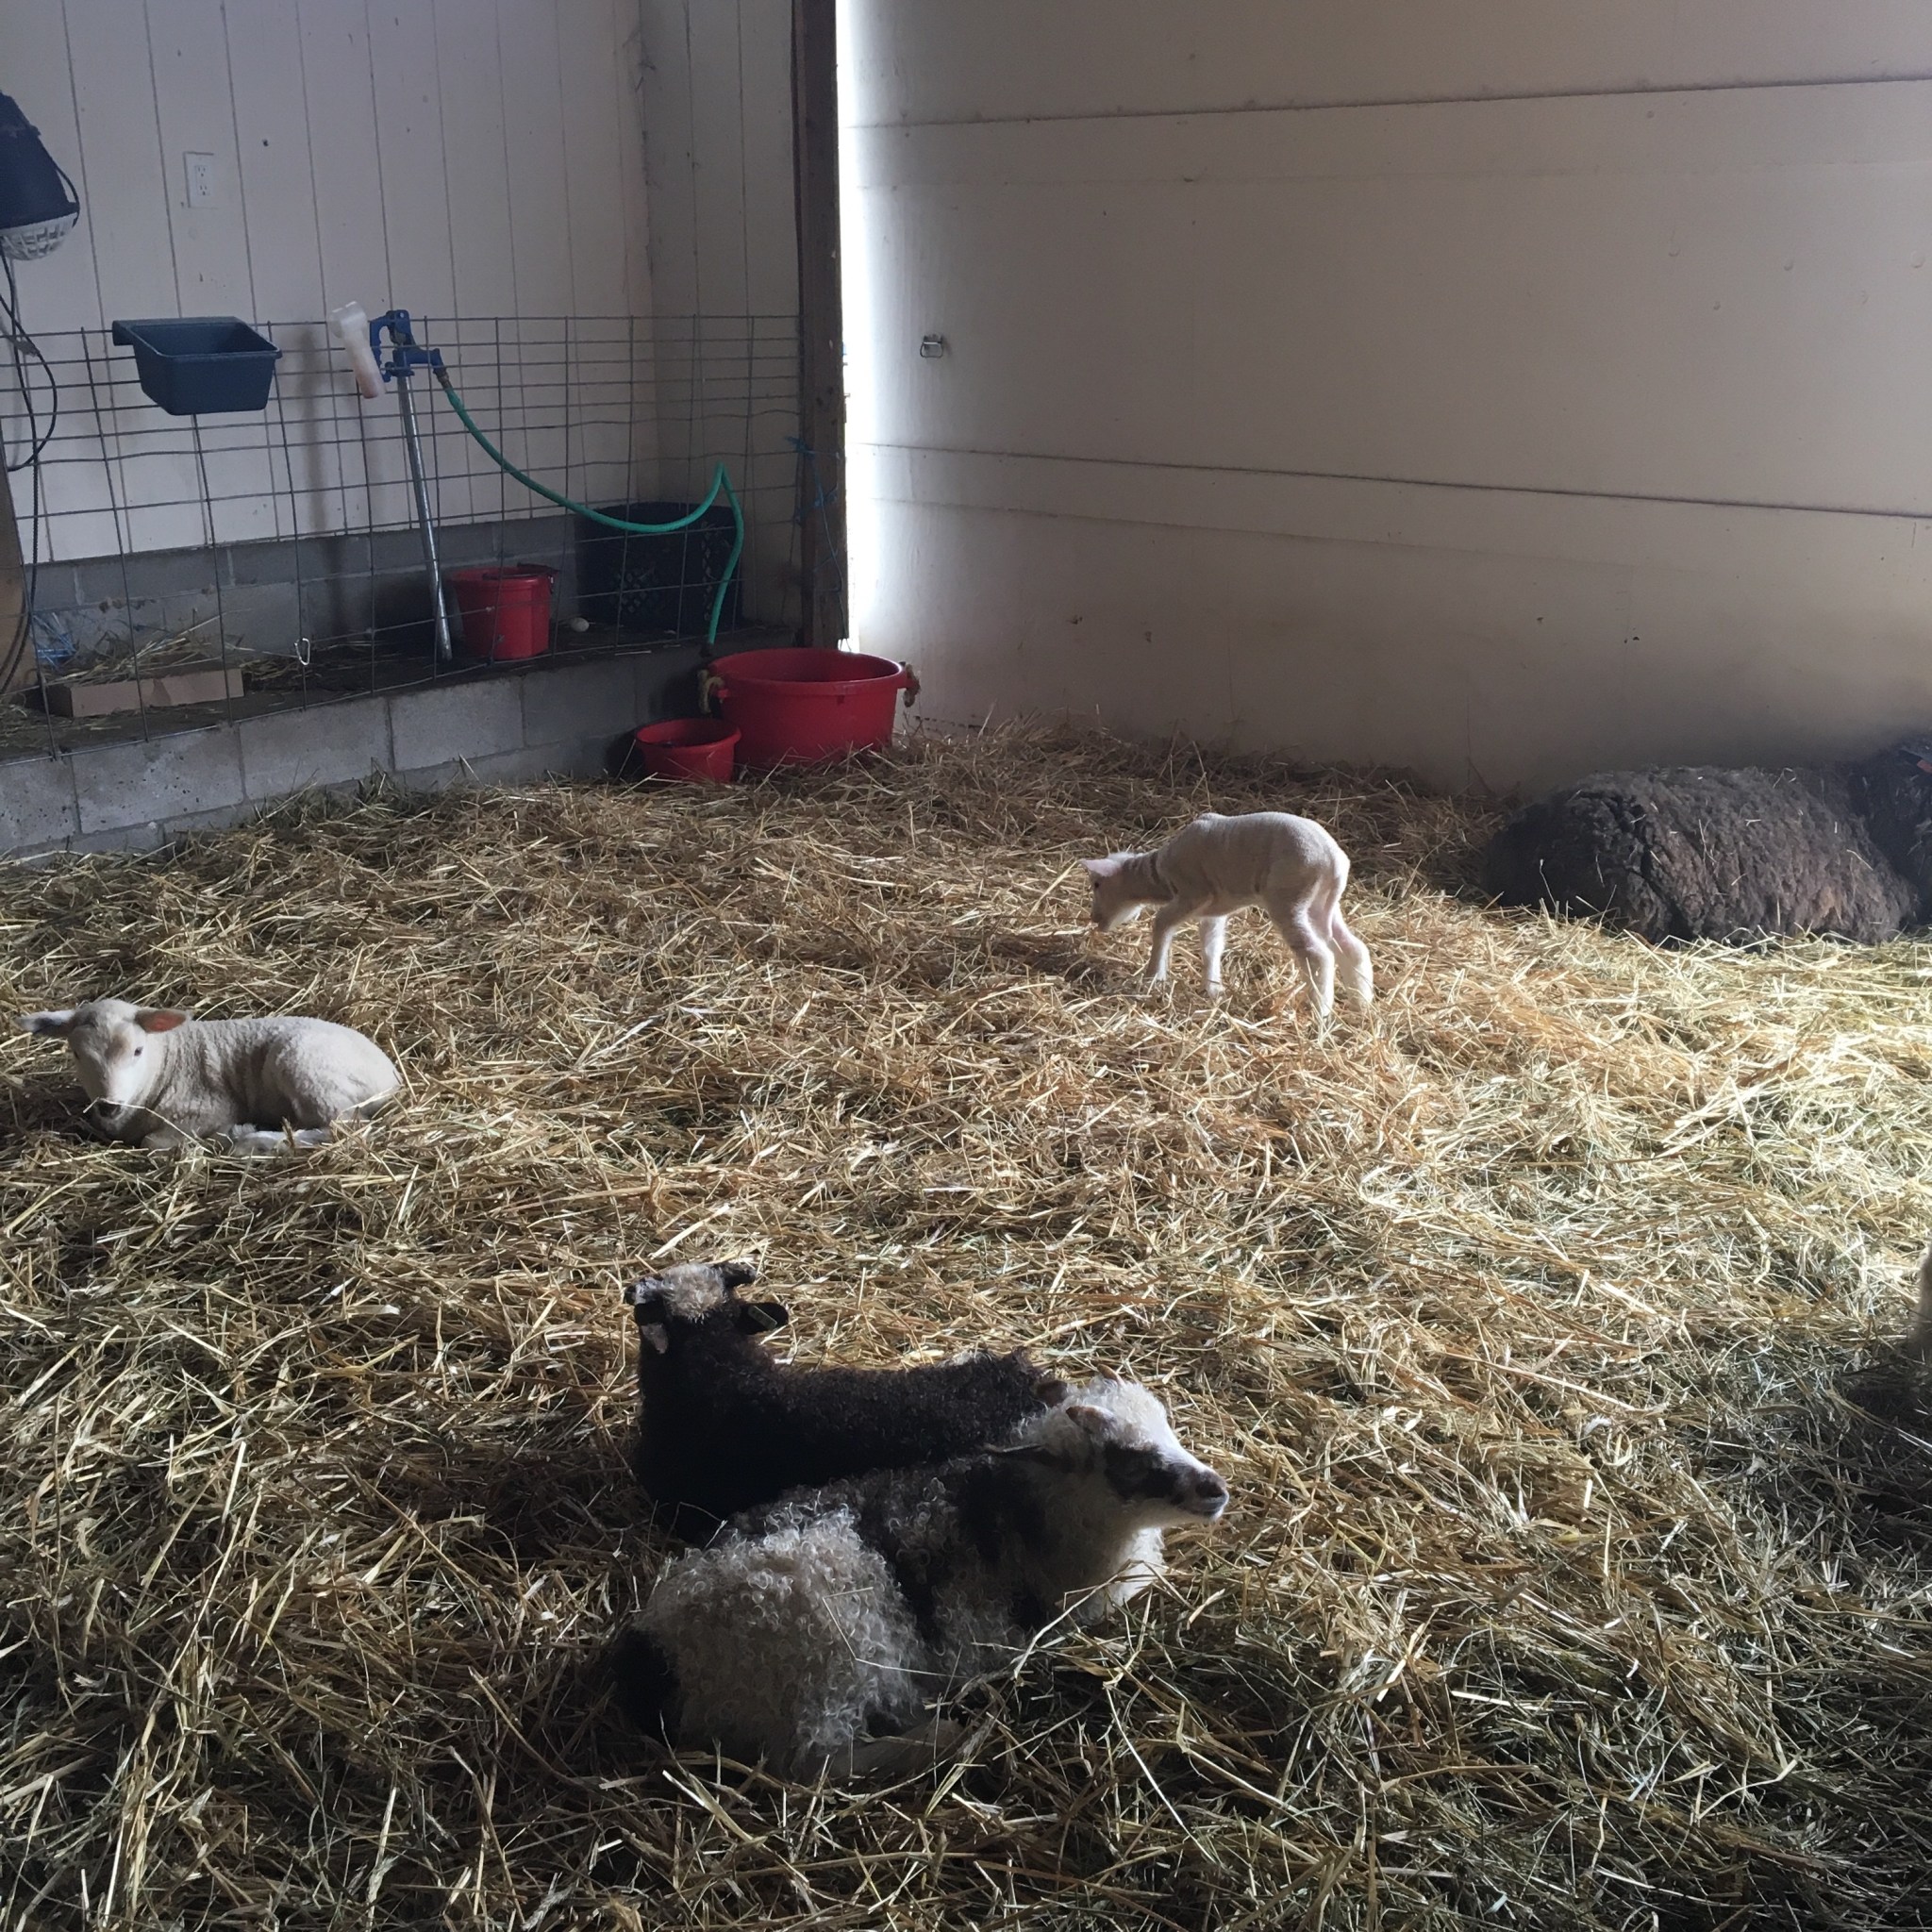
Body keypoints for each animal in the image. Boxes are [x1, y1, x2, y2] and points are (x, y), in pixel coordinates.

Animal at [18, 998, 399, 1152]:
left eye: (138, 1051)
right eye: (76, 1054)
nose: (109, 1106)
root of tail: (393, 1078)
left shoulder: (208, 1107)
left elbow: (153, 1143)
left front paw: (229, 1135)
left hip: (305, 1065)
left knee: (346, 1130)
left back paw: (253, 1141)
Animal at [611, 1376, 1228, 1777]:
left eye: (1169, 1430)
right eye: (1129, 1461)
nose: (1216, 1489)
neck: (1036, 1516)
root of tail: (659, 1650)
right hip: (822, 1655)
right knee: (812, 1765)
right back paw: (943, 1737)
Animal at [1082, 810, 1372, 1017]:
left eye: (1096, 884)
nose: (1094, 919)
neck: (1159, 874)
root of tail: (1334, 861)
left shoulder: (1193, 893)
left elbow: (1161, 923)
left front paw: (1154, 977)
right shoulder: (1213, 912)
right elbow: (1211, 946)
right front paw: (1213, 988)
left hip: (1289, 897)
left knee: (1318, 955)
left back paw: (1320, 1012)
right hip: (1321, 903)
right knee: (1351, 947)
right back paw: (1362, 1004)